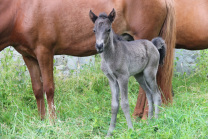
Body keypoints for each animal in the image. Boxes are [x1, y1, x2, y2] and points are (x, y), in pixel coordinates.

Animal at [0, 0, 176, 119]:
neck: (21, 10)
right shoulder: (29, 56)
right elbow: (37, 89)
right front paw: (41, 120)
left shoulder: (45, 52)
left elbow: (48, 89)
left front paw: (52, 121)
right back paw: (138, 115)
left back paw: (146, 116)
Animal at [89, 8, 166, 136]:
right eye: (94, 30)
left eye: (108, 29)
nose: (99, 46)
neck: (111, 55)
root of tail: (153, 44)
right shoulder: (111, 79)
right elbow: (114, 105)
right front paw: (110, 132)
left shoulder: (123, 77)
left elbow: (125, 103)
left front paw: (131, 129)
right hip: (139, 76)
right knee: (149, 93)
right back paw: (149, 122)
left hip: (149, 73)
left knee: (156, 94)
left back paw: (156, 121)